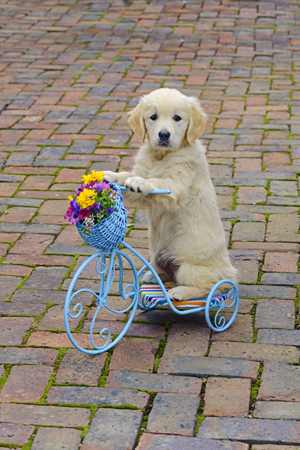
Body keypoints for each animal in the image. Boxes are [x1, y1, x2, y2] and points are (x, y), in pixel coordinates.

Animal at [103, 86, 237, 300]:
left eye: (177, 118)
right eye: (153, 117)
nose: (164, 134)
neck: (160, 156)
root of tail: (229, 273)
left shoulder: (178, 185)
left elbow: (158, 181)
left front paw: (141, 182)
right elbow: (127, 176)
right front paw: (112, 176)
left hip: (190, 268)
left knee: (209, 286)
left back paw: (180, 292)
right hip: (157, 256)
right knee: (167, 273)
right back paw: (152, 275)